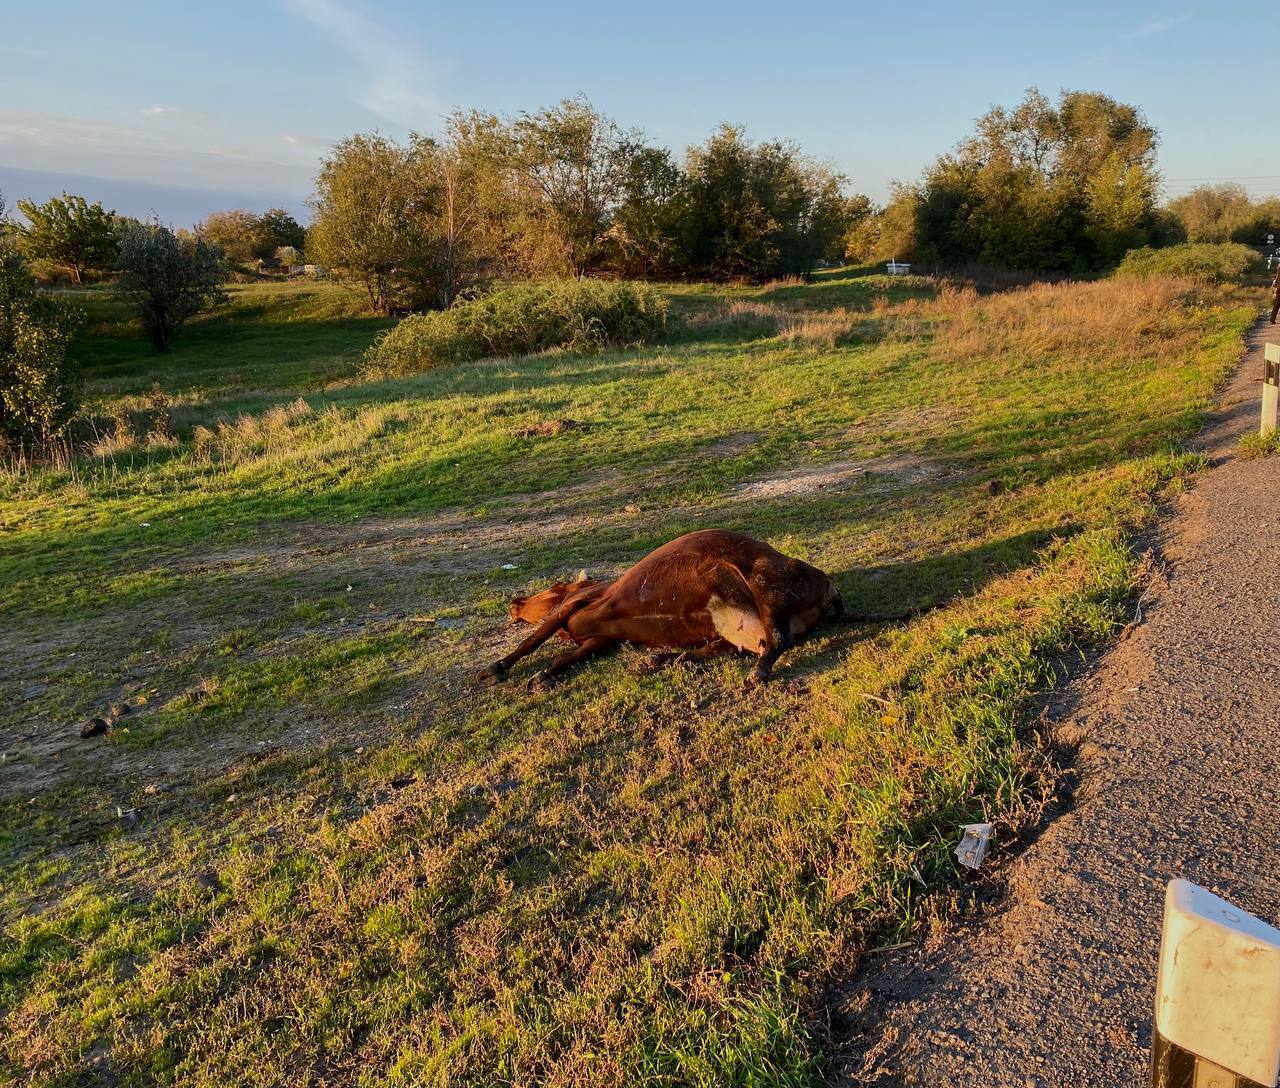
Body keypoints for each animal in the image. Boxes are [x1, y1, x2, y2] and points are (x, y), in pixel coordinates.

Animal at [478, 529, 839, 691]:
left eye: (553, 587)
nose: (514, 603)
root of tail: (829, 588)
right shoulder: (599, 639)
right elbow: (567, 658)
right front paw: (545, 675)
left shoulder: (572, 607)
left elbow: (532, 640)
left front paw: (496, 668)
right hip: (736, 625)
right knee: (729, 646)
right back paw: (662, 660)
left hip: (766, 584)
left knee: (777, 639)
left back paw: (757, 672)